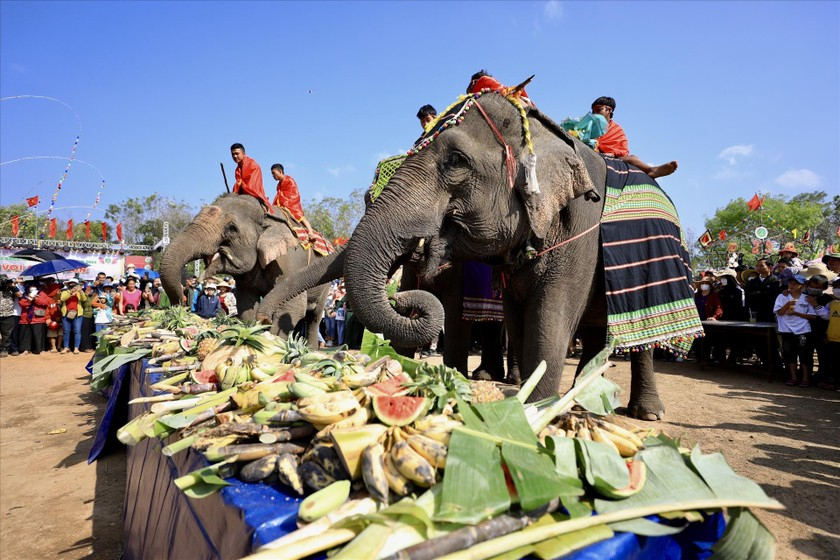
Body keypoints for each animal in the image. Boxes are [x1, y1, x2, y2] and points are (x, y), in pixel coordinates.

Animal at [159, 194, 330, 350]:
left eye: (232, 228)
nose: (181, 305)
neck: (265, 212)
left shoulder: (289, 260)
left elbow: (292, 306)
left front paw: (273, 343)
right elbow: (246, 305)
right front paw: (254, 333)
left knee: (314, 317)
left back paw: (311, 349)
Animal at [338, 89, 700, 418]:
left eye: (455, 161)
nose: (399, 298)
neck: (541, 132)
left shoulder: (581, 229)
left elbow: (549, 317)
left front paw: (536, 411)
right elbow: (518, 319)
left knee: (641, 334)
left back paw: (645, 413)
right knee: (594, 331)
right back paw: (582, 397)